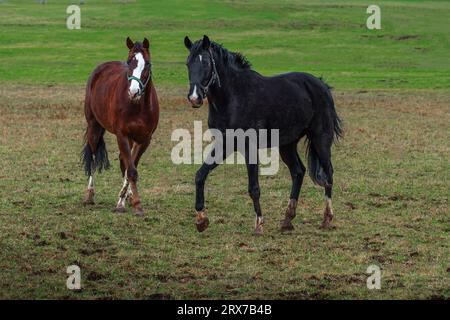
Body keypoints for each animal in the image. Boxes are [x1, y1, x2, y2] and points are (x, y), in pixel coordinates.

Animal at [82, 37, 160, 216]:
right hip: (94, 126)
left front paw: (128, 199)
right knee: (94, 156)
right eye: (129, 61)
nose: (134, 91)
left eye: (147, 64)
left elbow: (131, 167)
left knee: (124, 161)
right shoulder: (122, 135)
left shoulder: (144, 139)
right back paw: (90, 194)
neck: (137, 106)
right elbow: (130, 170)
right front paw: (132, 204)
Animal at [183, 35, 342, 235]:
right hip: (287, 145)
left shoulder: (248, 147)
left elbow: (254, 187)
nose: (194, 98)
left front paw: (259, 224)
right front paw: (201, 220)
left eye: (205, 62)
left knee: (328, 173)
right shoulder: (224, 145)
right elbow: (200, 175)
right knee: (298, 171)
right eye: (188, 63)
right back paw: (287, 219)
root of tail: (321, 85)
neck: (234, 97)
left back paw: (327, 218)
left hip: (321, 139)